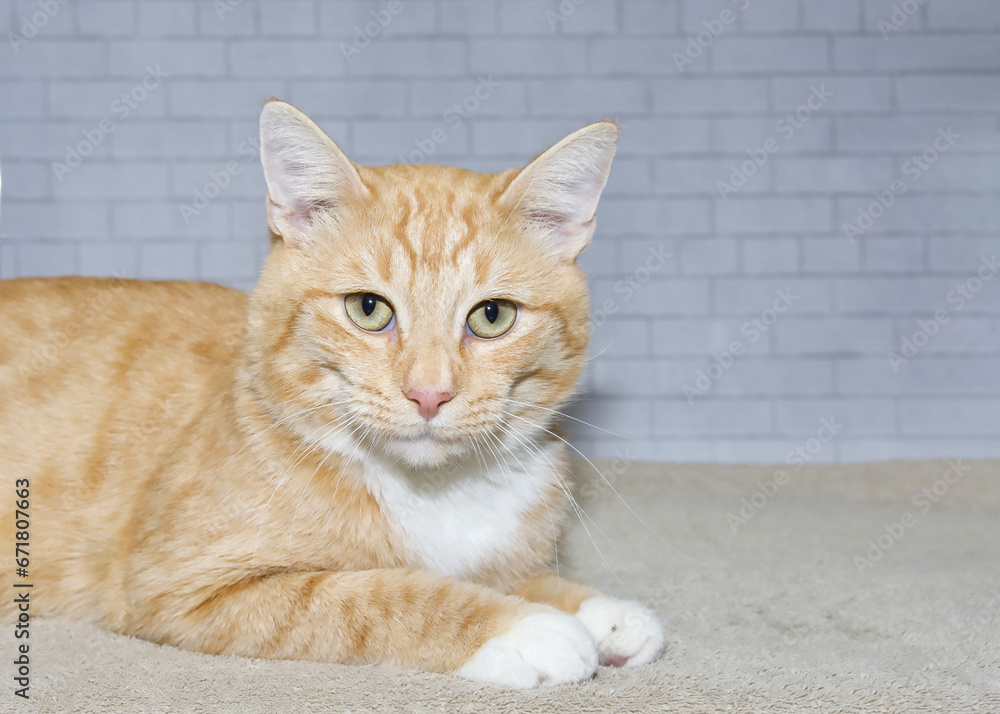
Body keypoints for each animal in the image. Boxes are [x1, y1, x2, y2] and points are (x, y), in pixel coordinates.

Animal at [0, 100, 664, 684]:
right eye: (368, 309)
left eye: (492, 316)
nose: (429, 394)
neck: (434, 491)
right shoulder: (179, 585)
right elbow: (378, 592)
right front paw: (525, 627)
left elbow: (510, 574)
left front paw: (596, 611)